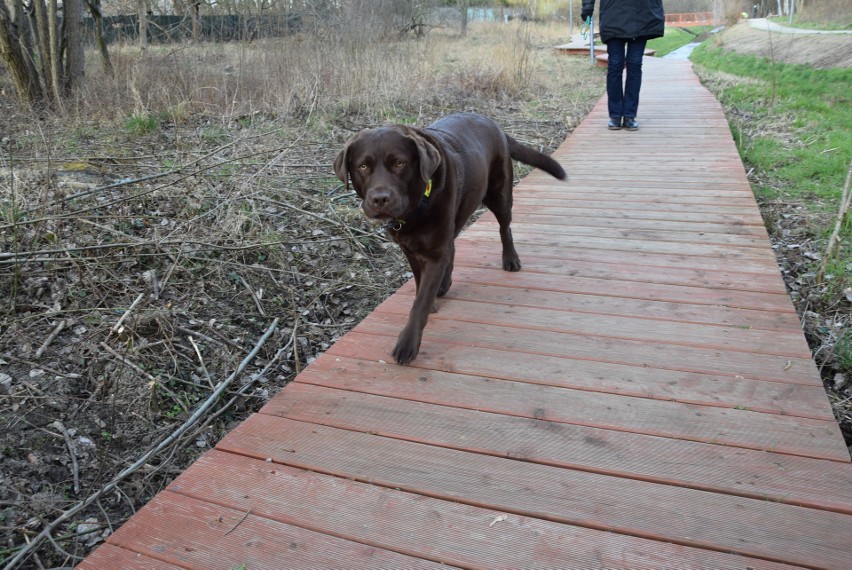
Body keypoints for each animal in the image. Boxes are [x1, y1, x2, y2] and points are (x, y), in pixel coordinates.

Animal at [334, 112, 564, 364]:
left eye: (399, 163)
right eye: (363, 166)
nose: (380, 199)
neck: (416, 208)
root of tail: (493, 124)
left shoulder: (434, 253)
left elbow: (420, 303)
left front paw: (408, 343)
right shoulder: (410, 250)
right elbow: (420, 283)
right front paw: (431, 298)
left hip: (499, 194)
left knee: (505, 228)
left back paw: (510, 259)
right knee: (453, 247)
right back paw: (445, 283)